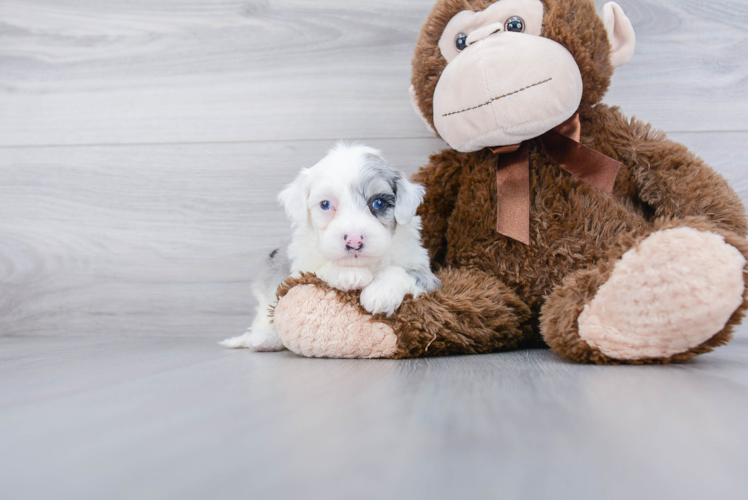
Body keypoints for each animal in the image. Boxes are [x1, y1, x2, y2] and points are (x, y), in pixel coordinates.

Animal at [224, 142, 444, 352]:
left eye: (379, 203)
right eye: (325, 204)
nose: (354, 241)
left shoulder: (425, 273)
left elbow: (400, 271)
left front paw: (380, 293)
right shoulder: (298, 269)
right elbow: (319, 270)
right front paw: (350, 274)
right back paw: (263, 338)